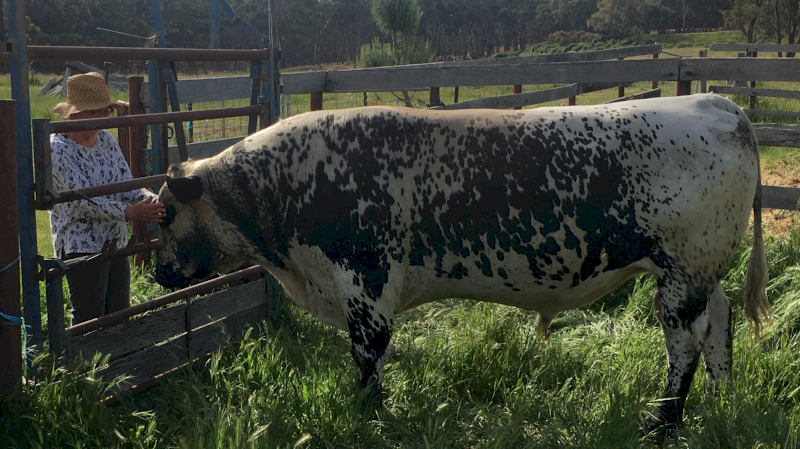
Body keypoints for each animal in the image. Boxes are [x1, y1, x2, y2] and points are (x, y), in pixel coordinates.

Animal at [154, 94, 769, 437]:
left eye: (162, 214)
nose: (157, 275)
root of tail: (719, 104)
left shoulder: (365, 288)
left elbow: (367, 362)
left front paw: (366, 418)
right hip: (700, 272)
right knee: (719, 325)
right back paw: (720, 399)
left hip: (682, 269)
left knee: (685, 343)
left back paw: (661, 421)